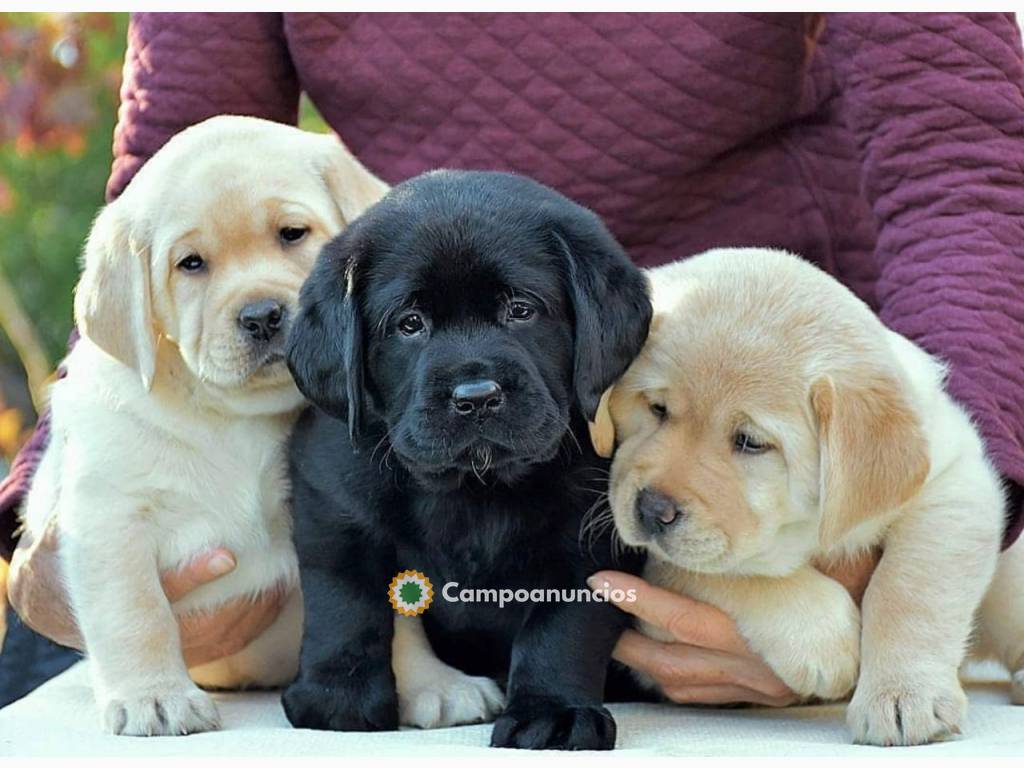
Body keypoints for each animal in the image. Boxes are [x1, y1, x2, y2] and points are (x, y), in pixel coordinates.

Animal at [18, 118, 503, 741]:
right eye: (191, 264)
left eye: (292, 234)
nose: (263, 316)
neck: (236, 419)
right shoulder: (109, 516)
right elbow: (136, 612)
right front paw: (155, 696)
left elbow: (396, 615)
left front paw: (433, 684)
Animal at [282, 169, 647, 753]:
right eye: (410, 324)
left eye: (521, 310)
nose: (475, 397)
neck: (474, 487)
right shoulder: (330, 502)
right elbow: (344, 598)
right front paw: (338, 697)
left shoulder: (589, 542)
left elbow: (563, 629)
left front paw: (553, 712)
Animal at [593, 249, 1015, 749]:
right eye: (656, 408)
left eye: (750, 442)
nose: (652, 510)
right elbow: (730, 574)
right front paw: (826, 642)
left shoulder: (955, 483)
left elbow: (911, 588)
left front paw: (902, 695)